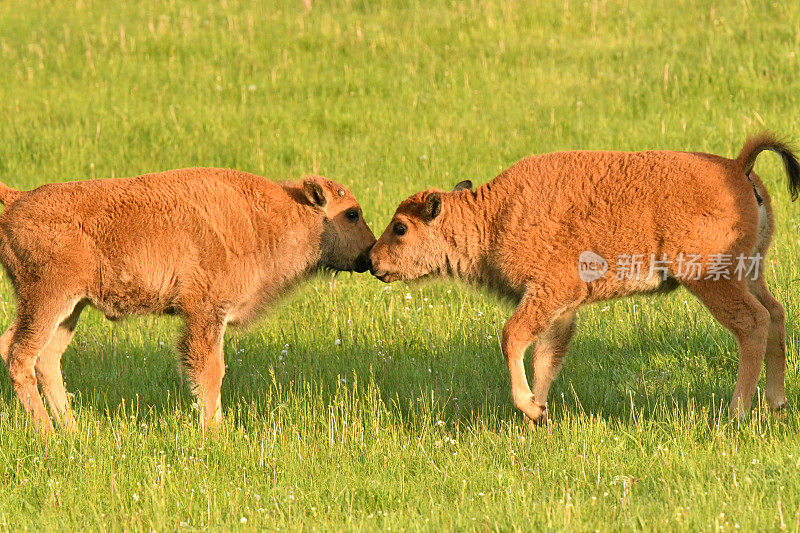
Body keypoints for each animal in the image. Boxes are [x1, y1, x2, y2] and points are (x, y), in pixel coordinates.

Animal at [0, 168, 376, 430]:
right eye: (352, 214)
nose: (370, 255)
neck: (263, 218)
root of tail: (17, 199)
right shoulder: (205, 313)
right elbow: (210, 371)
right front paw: (215, 432)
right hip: (47, 298)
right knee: (20, 355)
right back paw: (47, 434)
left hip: (70, 308)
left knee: (44, 358)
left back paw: (72, 430)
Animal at [372, 135, 796, 426]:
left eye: (400, 228)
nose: (373, 261)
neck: (494, 217)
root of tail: (737, 167)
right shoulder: (560, 310)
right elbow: (545, 358)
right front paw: (539, 415)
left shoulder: (549, 293)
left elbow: (513, 337)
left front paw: (529, 409)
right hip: (750, 272)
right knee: (776, 314)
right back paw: (777, 403)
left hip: (712, 278)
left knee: (752, 323)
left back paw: (737, 411)